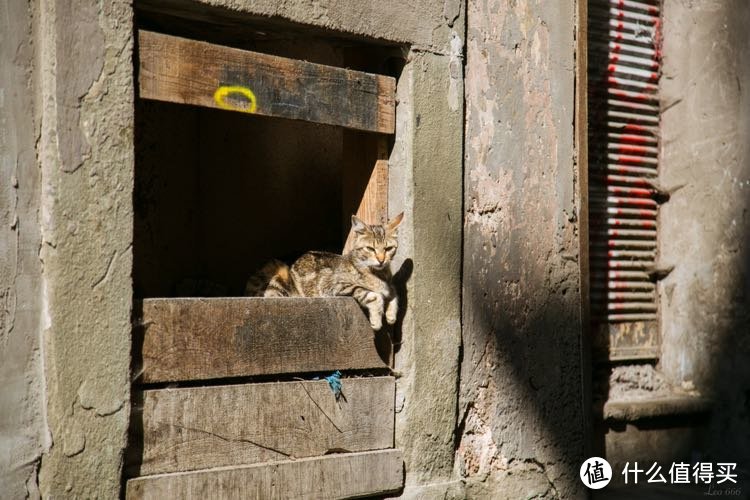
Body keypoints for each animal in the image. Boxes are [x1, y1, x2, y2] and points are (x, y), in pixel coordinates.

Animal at [247, 212, 402, 332]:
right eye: (370, 249)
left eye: (388, 249)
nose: (381, 260)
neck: (380, 275)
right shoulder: (335, 286)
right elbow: (372, 294)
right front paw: (377, 320)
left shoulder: (389, 285)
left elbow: (394, 293)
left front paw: (391, 315)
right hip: (277, 277)